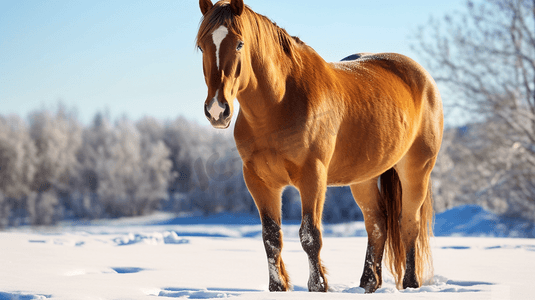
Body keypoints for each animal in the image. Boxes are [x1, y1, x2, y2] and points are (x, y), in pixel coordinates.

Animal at [197, 0, 444, 292]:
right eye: (201, 46)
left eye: (239, 44)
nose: (217, 111)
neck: (280, 103)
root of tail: (423, 77)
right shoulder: (259, 181)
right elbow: (271, 237)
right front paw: (278, 287)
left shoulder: (312, 176)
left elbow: (310, 236)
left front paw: (318, 286)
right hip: (363, 178)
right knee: (377, 223)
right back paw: (367, 283)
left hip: (416, 170)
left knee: (408, 224)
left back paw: (411, 283)